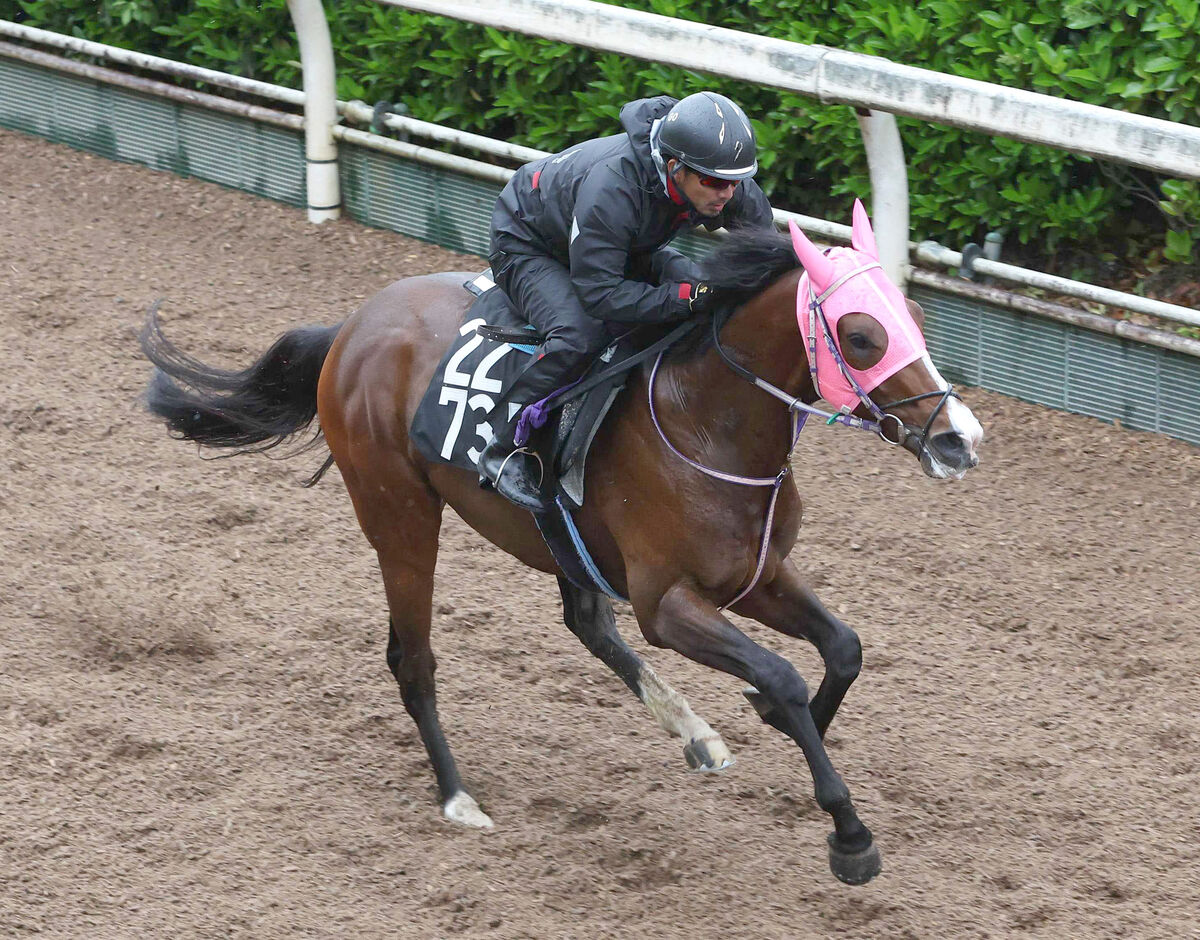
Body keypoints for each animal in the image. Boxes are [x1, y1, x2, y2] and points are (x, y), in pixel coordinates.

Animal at [140, 201, 984, 888]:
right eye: (861, 335)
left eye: (914, 314)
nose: (959, 440)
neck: (707, 421)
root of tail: (352, 327)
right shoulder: (667, 604)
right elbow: (780, 675)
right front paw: (848, 833)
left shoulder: (759, 572)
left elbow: (843, 648)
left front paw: (773, 726)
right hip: (399, 515)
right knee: (413, 659)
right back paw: (458, 797)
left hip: (557, 539)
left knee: (585, 622)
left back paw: (696, 736)